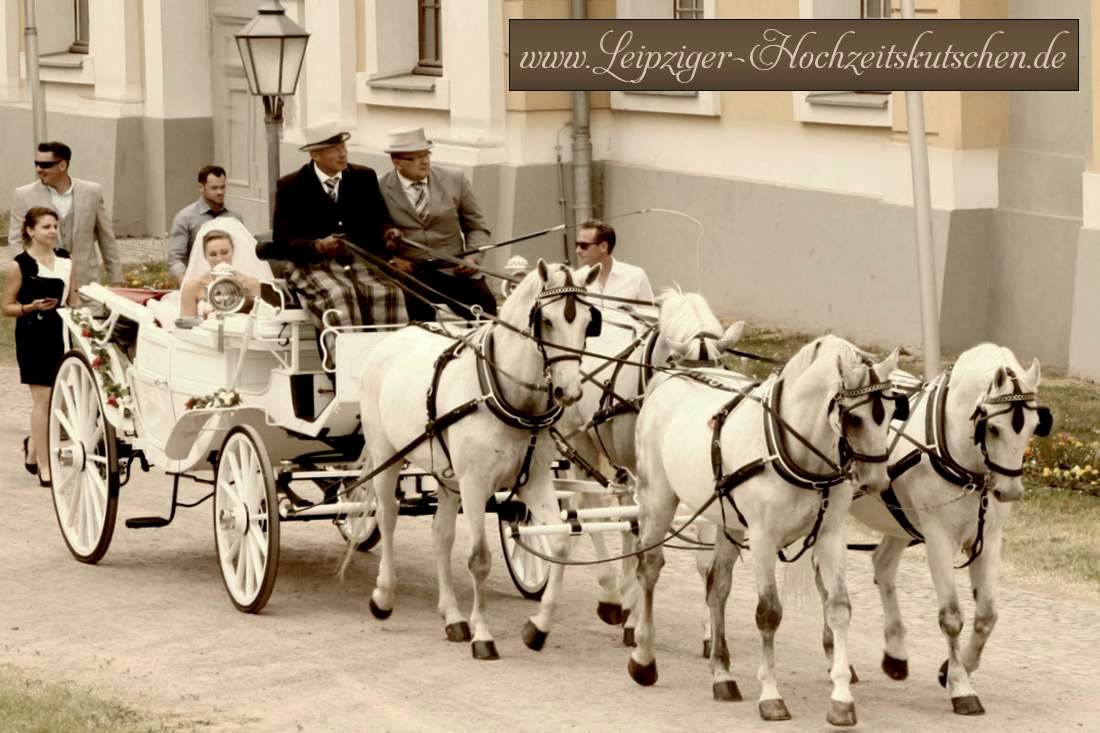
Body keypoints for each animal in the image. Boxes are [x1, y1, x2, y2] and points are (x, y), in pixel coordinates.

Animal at [358, 258, 602, 655]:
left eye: (587, 321)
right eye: (547, 321)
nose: (569, 391)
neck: (510, 397)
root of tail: (393, 337)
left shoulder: (535, 481)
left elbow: (560, 542)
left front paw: (538, 627)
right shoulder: (475, 484)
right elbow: (479, 559)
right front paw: (484, 635)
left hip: (446, 475)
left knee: (441, 534)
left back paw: (453, 616)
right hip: (386, 453)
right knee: (388, 516)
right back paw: (384, 595)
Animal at [554, 288, 743, 625]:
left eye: (719, 366)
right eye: (680, 368)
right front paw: (633, 607)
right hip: (581, 440)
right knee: (593, 508)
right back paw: (612, 595)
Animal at [633, 336, 897, 726]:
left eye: (892, 413)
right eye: (854, 417)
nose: (878, 481)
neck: (797, 452)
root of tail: (670, 378)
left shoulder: (831, 536)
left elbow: (838, 608)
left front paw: (841, 698)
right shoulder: (762, 539)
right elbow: (768, 613)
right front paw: (771, 695)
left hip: (727, 521)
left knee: (717, 588)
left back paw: (722, 676)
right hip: (658, 501)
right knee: (649, 569)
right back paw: (644, 659)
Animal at [844, 343, 1051, 713]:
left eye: (1032, 427)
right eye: (993, 429)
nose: (1010, 491)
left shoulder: (988, 539)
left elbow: (987, 615)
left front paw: (955, 669)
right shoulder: (939, 537)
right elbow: (952, 616)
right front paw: (960, 686)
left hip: (901, 521)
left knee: (882, 564)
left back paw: (895, 654)